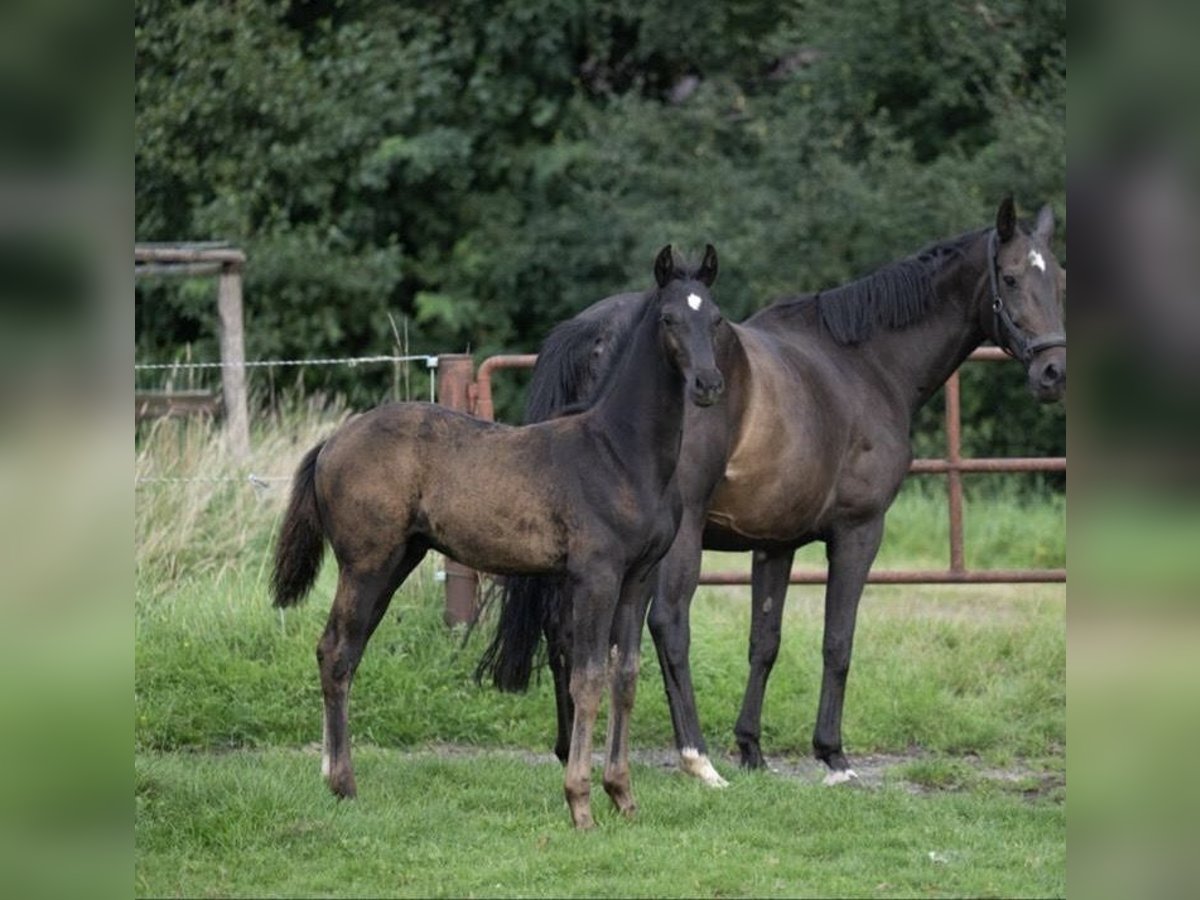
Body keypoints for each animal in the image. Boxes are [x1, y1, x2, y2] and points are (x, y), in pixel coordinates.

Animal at [272, 247, 720, 830]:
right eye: (669, 319)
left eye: (716, 319)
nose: (708, 384)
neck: (620, 453)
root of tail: (331, 442)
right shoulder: (595, 575)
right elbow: (588, 677)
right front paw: (580, 803)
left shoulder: (638, 577)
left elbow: (624, 676)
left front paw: (622, 795)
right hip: (366, 562)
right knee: (336, 652)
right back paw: (344, 783)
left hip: (397, 561)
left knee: (344, 650)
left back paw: (333, 774)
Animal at [477, 199, 1070, 787]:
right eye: (1010, 278)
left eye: (1060, 279)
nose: (1053, 371)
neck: (866, 365)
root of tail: (594, 332)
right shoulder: (858, 531)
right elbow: (838, 640)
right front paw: (833, 756)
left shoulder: (774, 542)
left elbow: (765, 640)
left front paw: (752, 748)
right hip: (677, 538)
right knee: (667, 624)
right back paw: (695, 756)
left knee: (565, 629)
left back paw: (569, 745)